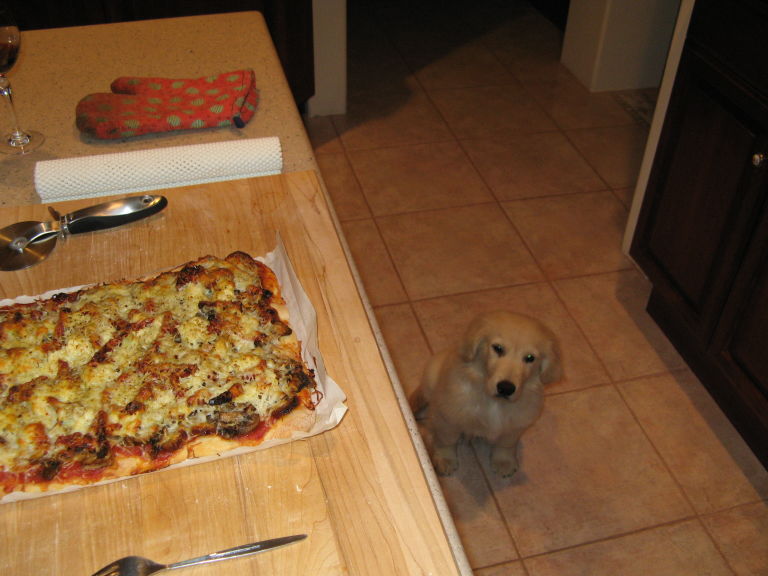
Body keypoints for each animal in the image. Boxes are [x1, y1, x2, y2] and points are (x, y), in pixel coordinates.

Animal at [409, 311, 562, 477]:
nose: (506, 388)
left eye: (530, 358)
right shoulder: (446, 415)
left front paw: (503, 462)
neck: (494, 403)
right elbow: (446, 439)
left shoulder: (516, 424)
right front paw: (445, 458)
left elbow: (506, 444)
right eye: (498, 348)